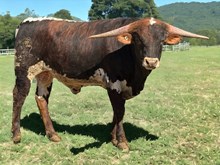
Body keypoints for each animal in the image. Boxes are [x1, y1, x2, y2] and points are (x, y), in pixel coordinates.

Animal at [12, 17, 208, 151]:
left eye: (162, 40)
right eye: (138, 39)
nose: (151, 62)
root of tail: (25, 23)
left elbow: (116, 112)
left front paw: (113, 138)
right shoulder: (114, 83)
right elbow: (119, 111)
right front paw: (122, 142)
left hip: (45, 74)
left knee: (41, 99)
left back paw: (52, 135)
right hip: (24, 70)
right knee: (19, 96)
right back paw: (16, 135)